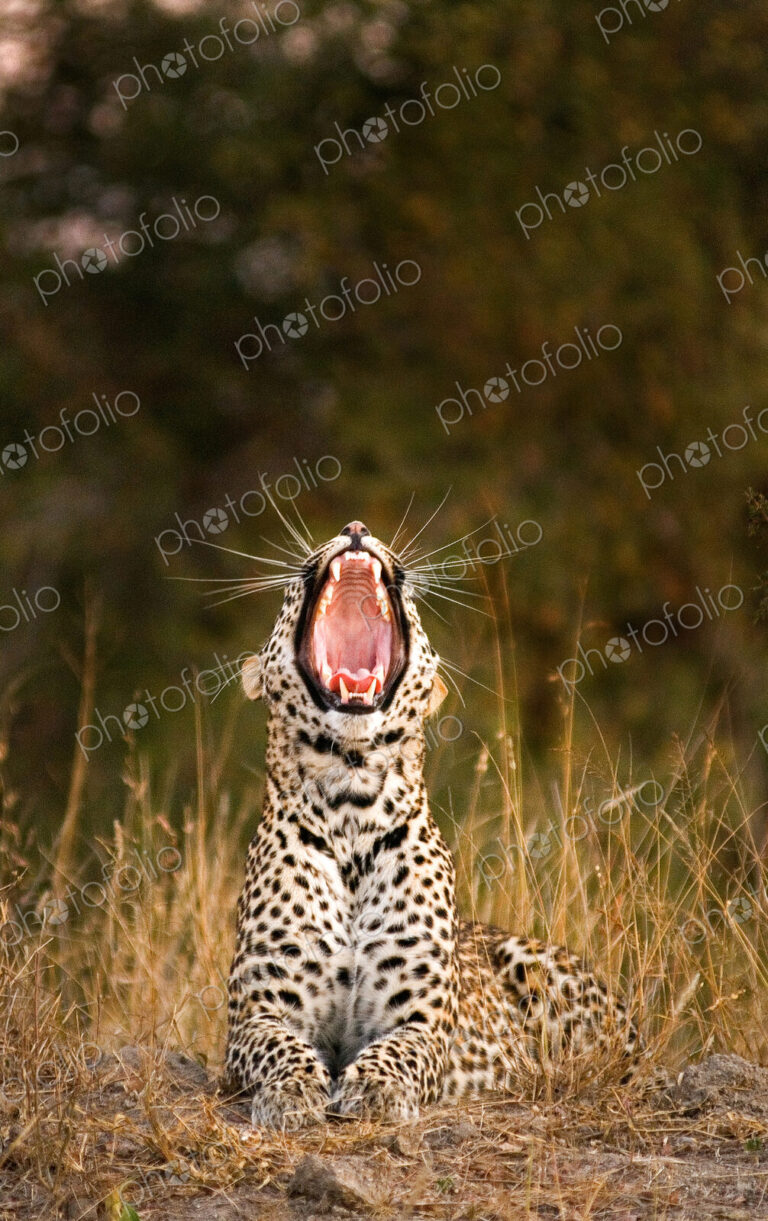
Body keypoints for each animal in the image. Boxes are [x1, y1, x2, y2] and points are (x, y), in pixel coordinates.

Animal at [225, 520, 639, 1129]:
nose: (355, 528)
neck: (351, 801)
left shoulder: (420, 1021)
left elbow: (399, 1050)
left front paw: (374, 1089)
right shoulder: (255, 1013)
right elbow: (281, 1047)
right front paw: (293, 1091)